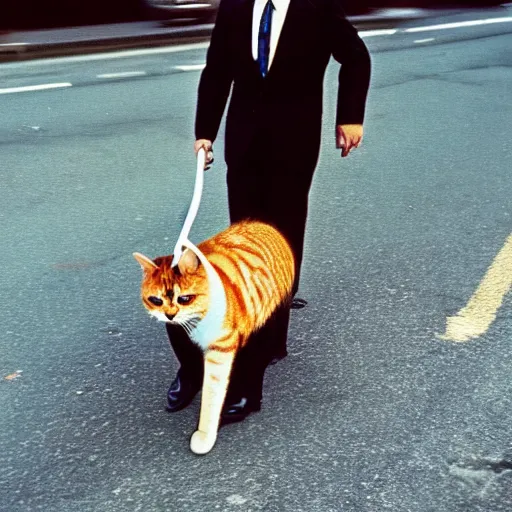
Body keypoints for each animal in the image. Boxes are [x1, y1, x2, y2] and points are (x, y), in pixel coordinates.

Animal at [134, 222, 294, 454]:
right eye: (155, 300)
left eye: (184, 298)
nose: (170, 315)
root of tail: (265, 225)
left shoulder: (221, 349)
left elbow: (211, 394)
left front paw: (204, 436)